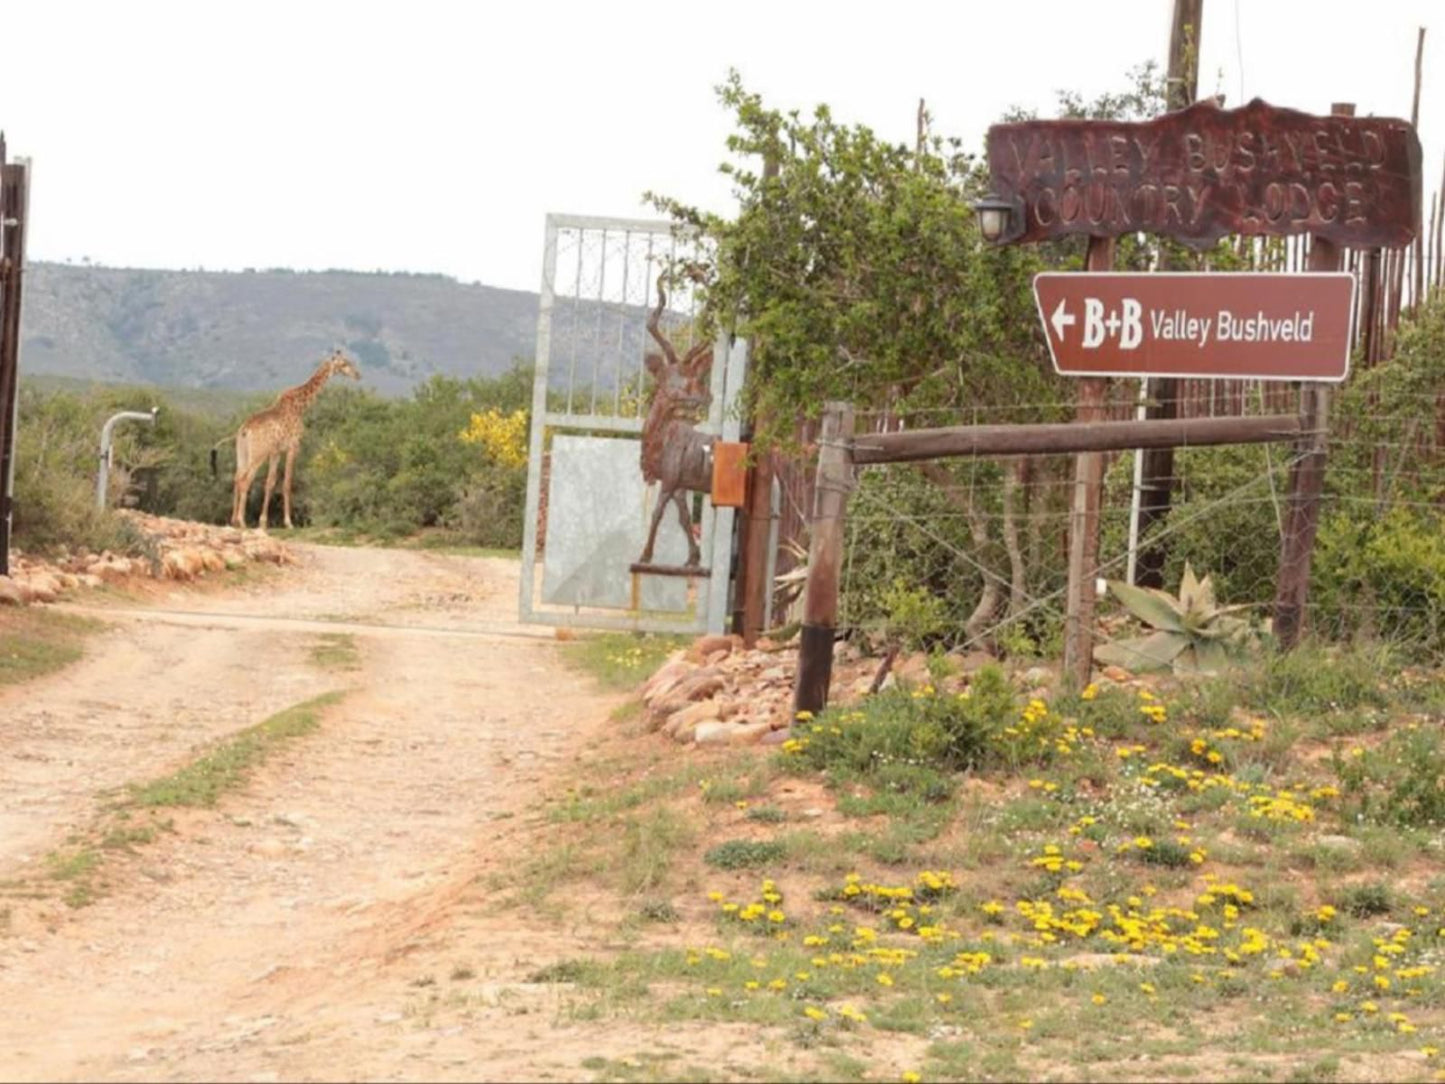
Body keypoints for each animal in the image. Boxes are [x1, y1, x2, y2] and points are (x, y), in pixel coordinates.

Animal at [226, 349, 364, 531]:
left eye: (350, 362)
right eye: (343, 364)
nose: (358, 375)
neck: (300, 407)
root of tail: (245, 429)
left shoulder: (276, 452)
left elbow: (270, 483)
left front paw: (263, 522)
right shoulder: (293, 447)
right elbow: (287, 483)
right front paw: (288, 522)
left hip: (242, 453)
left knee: (237, 477)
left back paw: (233, 521)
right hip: (258, 454)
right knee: (245, 480)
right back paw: (242, 521)